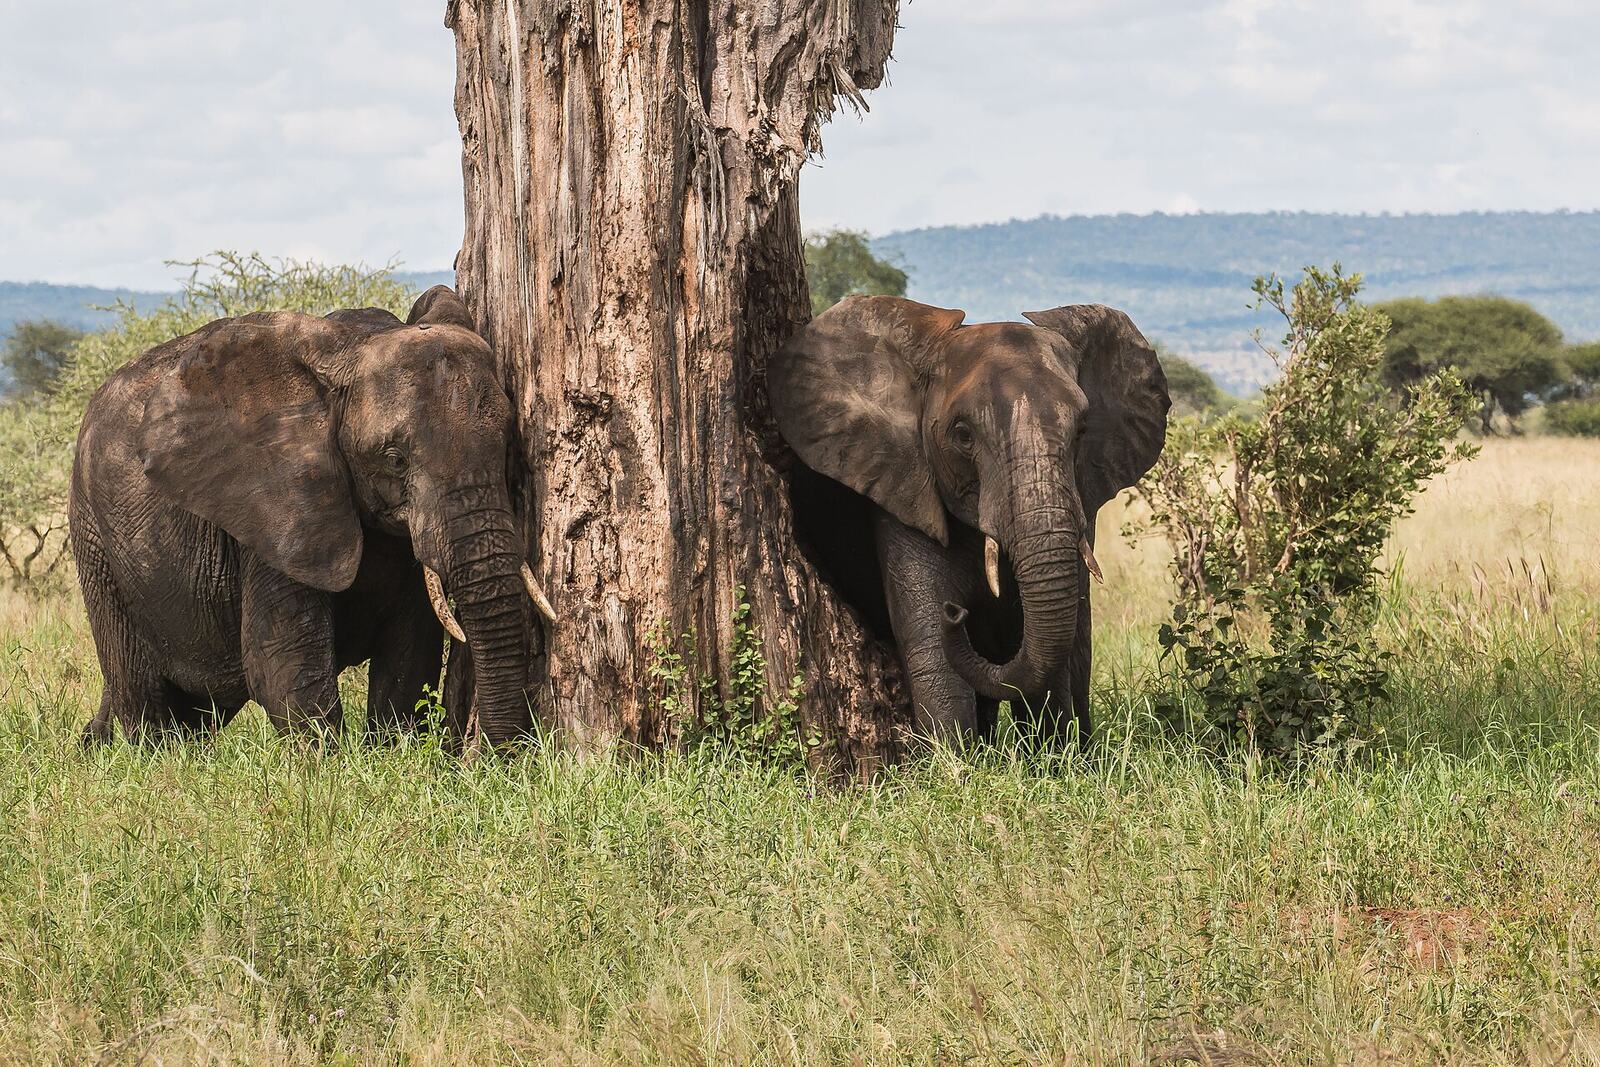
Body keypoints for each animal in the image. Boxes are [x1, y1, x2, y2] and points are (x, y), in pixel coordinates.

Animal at [69, 286, 554, 746]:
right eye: (395, 459)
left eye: (509, 445)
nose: (504, 756)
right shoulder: (275, 509)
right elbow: (281, 664)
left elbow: (409, 658)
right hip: (96, 541)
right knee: (141, 692)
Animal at [769, 295, 1169, 745]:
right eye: (962, 435)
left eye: (1082, 430)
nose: (955, 613)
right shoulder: (905, 488)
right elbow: (933, 649)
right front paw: (955, 760)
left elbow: (1054, 652)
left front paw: (1055, 755)